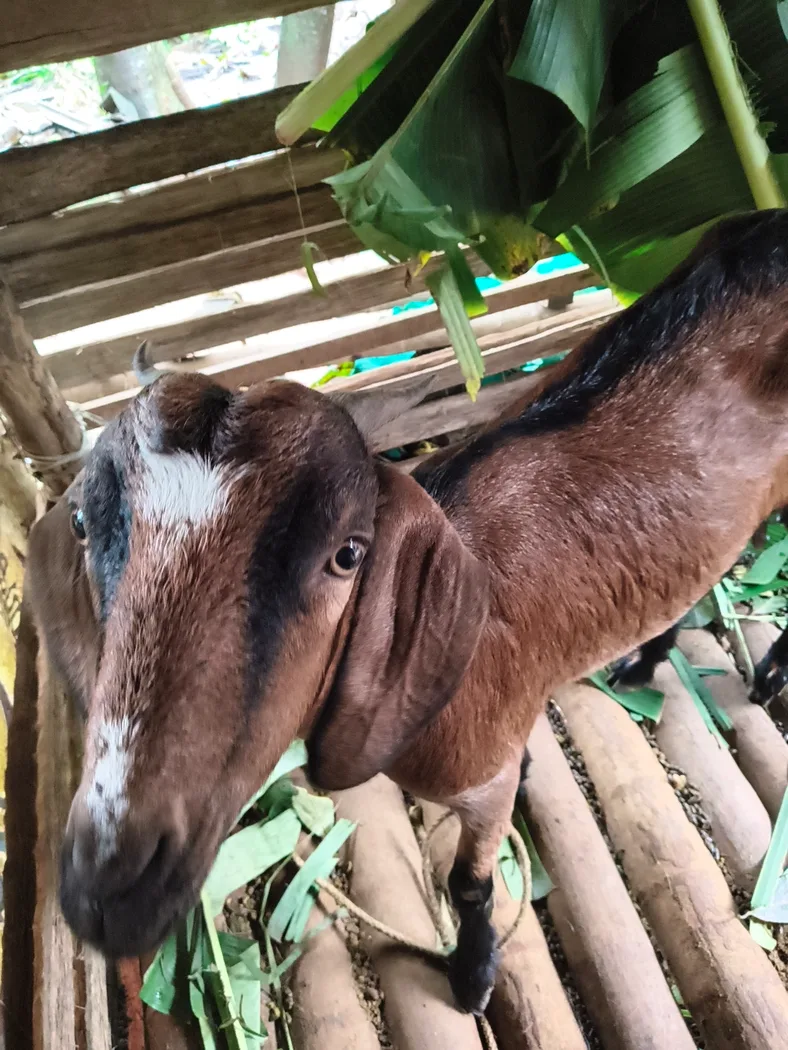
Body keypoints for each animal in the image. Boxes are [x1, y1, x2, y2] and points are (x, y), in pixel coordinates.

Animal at [24, 209, 788, 1016]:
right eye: (83, 523)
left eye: (347, 553)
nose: (113, 888)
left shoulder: (482, 781)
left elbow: (470, 883)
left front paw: (474, 975)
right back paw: (646, 656)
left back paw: (767, 677)